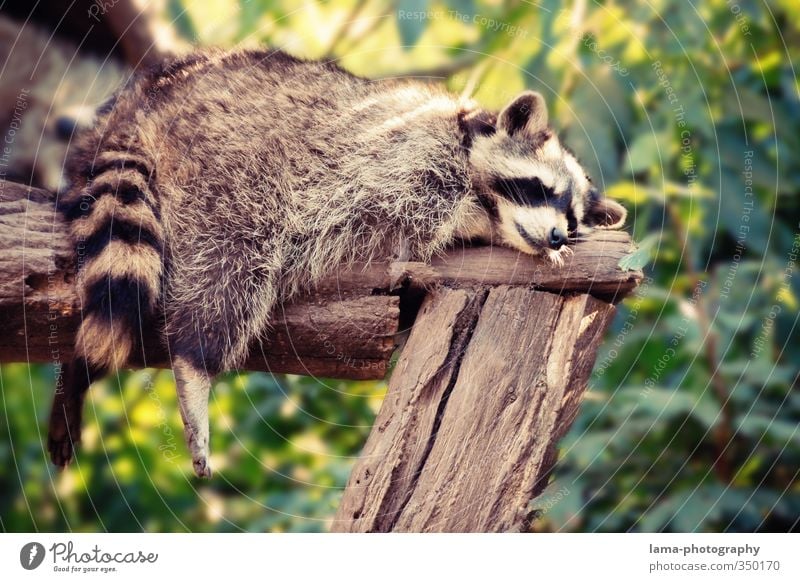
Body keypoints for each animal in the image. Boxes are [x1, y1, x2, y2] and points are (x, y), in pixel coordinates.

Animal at [50, 49, 628, 480]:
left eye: (573, 217)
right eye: (541, 188)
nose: (556, 234)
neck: (468, 134)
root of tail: (142, 101)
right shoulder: (410, 153)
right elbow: (417, 204)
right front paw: (475, 221)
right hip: (228, 160)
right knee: (233, 254)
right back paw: (195, 362)